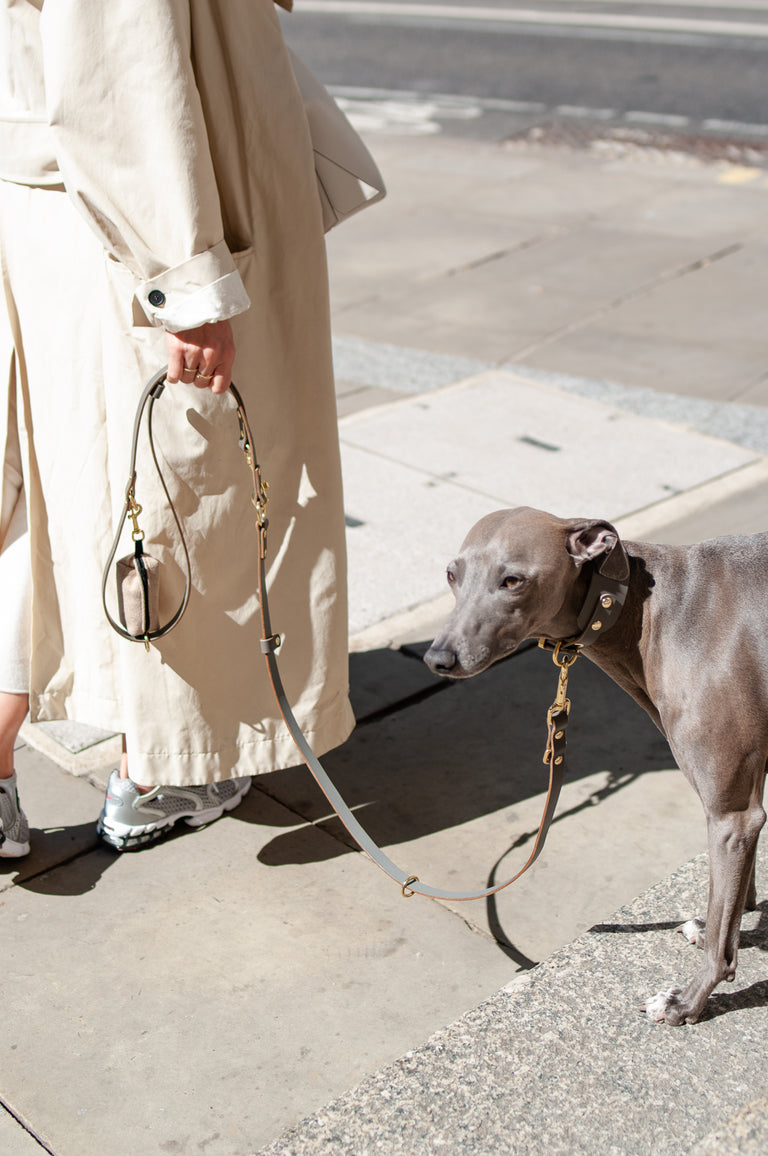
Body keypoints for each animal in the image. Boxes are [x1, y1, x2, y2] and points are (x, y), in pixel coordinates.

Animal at [423, 506, 763, 1021]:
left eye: (513, 580)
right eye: (450, 574)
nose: (438, 658)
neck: (649, 611)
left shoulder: (732, 814)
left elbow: (721, 939)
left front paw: (688, 1001)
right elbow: (734, 894)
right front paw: (728, 922)